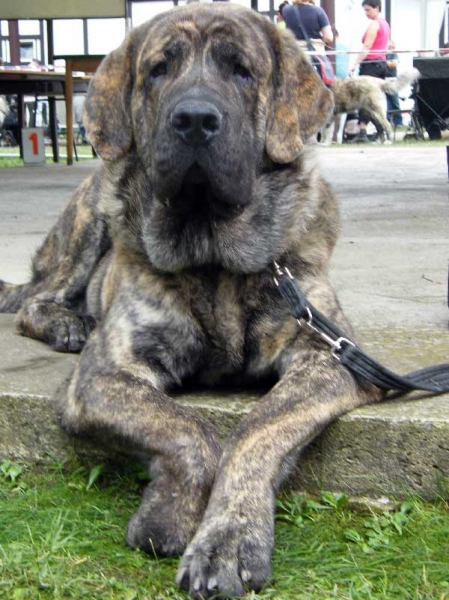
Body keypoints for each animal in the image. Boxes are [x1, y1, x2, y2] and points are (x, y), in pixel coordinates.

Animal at [0, 3, 382, 596]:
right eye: (158, 70)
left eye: (242, 71)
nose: (196, 119)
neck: (213, 259)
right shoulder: (106, 375)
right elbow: (188, 429)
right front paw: (170, 515)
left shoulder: (328, 358)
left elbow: (256, 429)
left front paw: (229, 539)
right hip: (90, 218)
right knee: (37, 298)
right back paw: (67, 323)